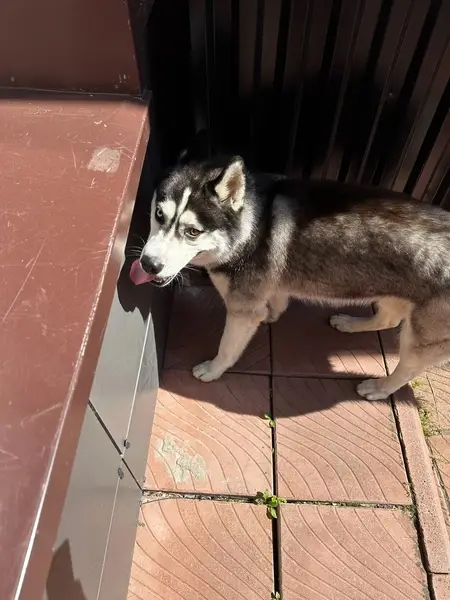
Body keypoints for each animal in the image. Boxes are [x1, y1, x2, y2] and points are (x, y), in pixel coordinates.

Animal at [130, 152, 450, 401]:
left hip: (419, 340)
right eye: (158, 214)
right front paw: (271, 314)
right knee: (388, 319)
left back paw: (381, 387)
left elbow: (227, 347)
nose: (148, 264)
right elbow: (276, 300)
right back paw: (351, 323)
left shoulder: (241, 310)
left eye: (193, 232)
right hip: (393, 294)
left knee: (407, 367)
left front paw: (213, 369)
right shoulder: (270, 287)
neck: (251, 227)